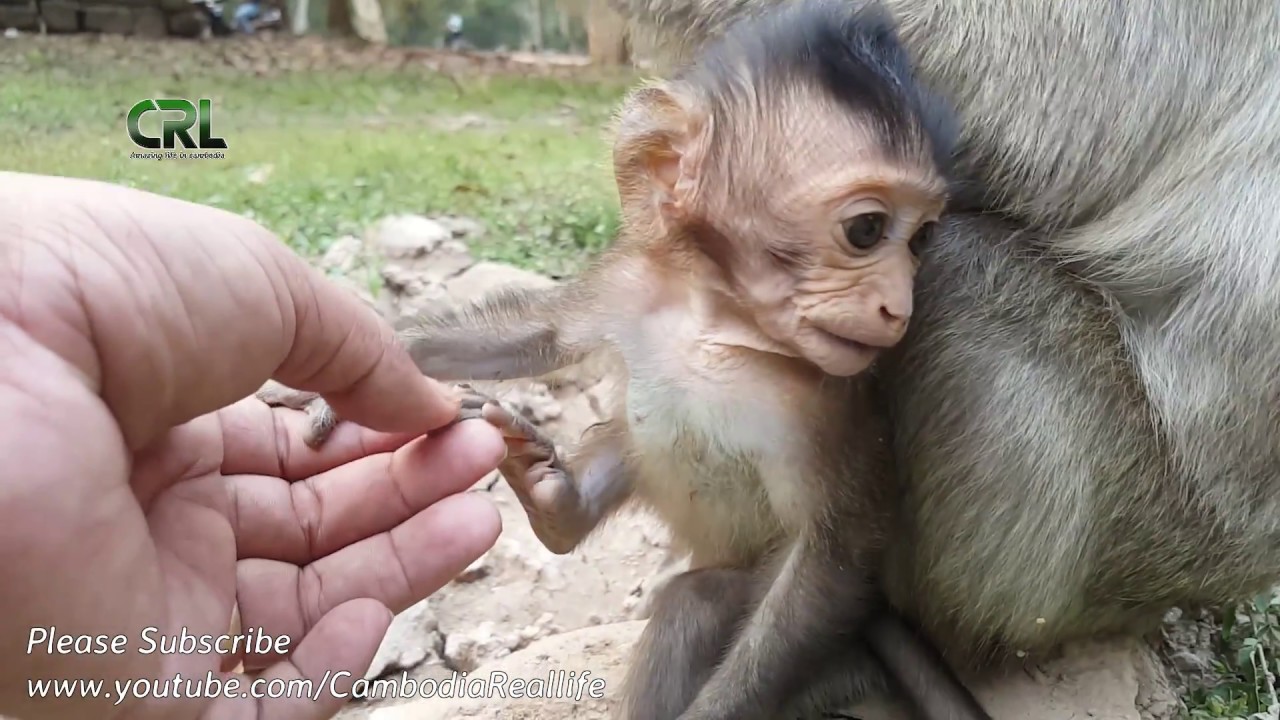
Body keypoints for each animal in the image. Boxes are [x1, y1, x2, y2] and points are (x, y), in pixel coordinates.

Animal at [256, 2, 995, 718]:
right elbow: (544, 332)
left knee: (695, 606)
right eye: (867, 230)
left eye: (921, 240)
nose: (897, 305)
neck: (717, 321)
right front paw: (354, 376)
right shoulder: (631, 281)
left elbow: (835, 552)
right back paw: (554, 503)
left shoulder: (836, 401)